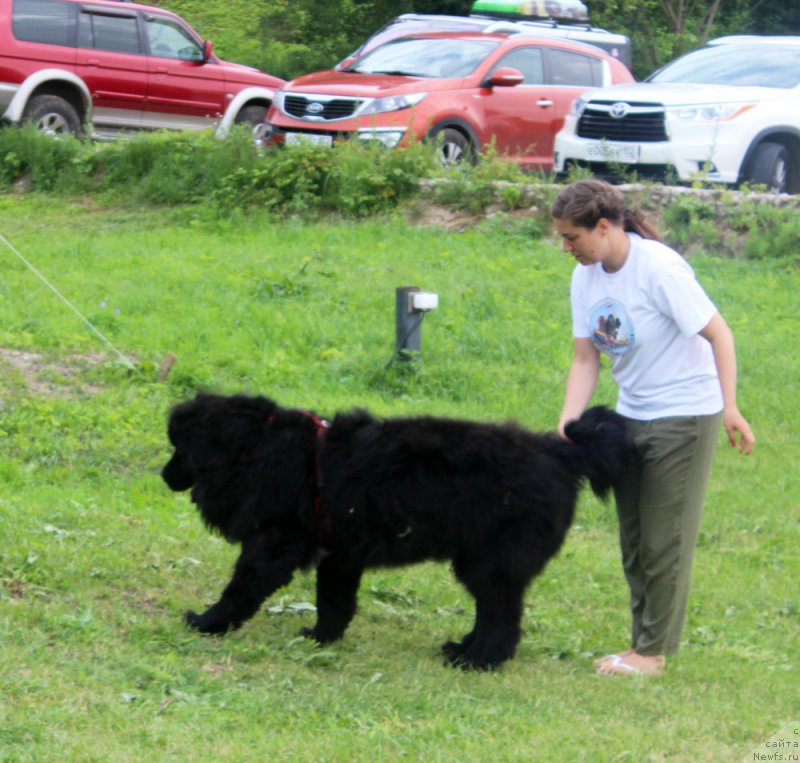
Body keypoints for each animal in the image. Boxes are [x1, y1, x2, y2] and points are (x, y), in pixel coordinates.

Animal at [162, 394, 632, 668]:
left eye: (178, 447)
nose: (164, 476)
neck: (257, 448)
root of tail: (561, 454)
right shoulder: (340, 554)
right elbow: (334, 603)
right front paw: (321, 638)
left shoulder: (273, 543)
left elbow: (240, 589)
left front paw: (207, 622)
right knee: (494, 613)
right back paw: (463, 649)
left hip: (491, 562)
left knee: (502, 618)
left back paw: (478, 660)